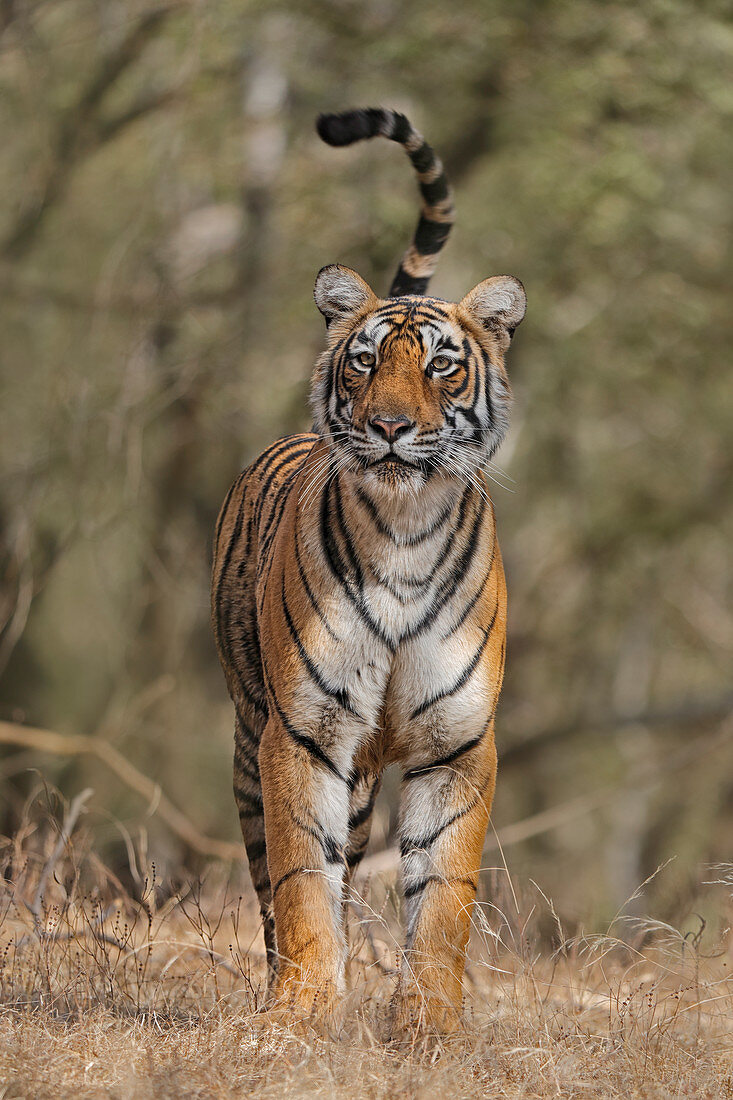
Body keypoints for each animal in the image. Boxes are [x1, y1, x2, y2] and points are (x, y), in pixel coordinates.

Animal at [211, 105, 526, 1029]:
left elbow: (444, 892)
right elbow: (301, 879)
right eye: (364, 361)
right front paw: (305, 1009)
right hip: (254, 739)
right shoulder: (303, 733)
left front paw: (429, 1022)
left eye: (439, 364)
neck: (403, 535)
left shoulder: (457, 742)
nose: (387, 426)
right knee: (278, 880)